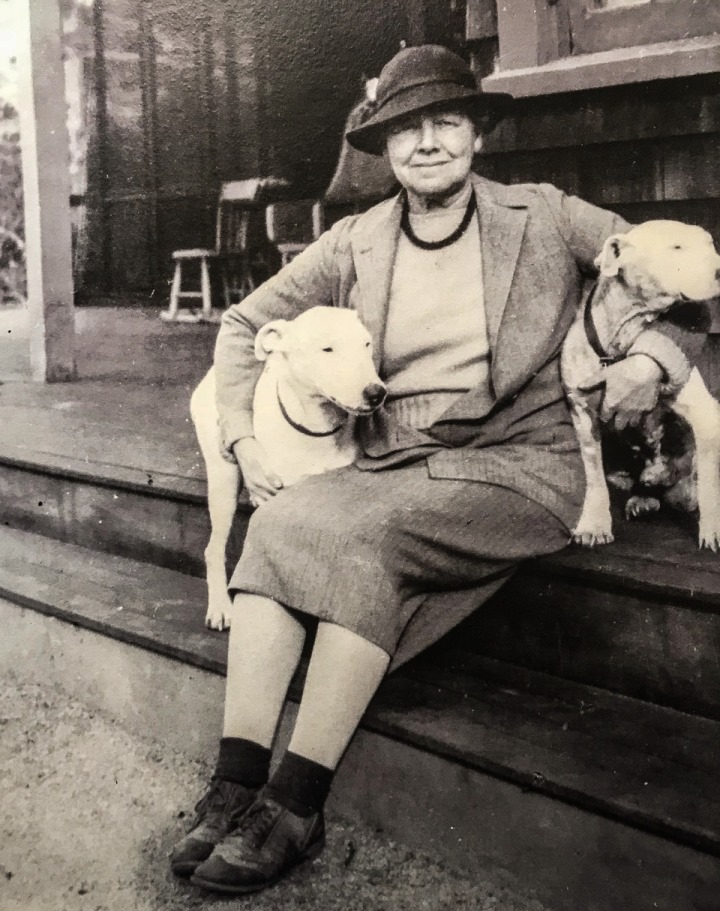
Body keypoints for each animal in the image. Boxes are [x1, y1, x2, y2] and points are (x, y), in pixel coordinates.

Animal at [564, 221, 720, 548]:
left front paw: (713, 530)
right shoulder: (582, 412)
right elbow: (593, 473)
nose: (719, 270)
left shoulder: (706, 416)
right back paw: (643, 499)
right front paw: (594, 523)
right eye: (676, 247)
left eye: (710, 244)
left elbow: (711, 485)